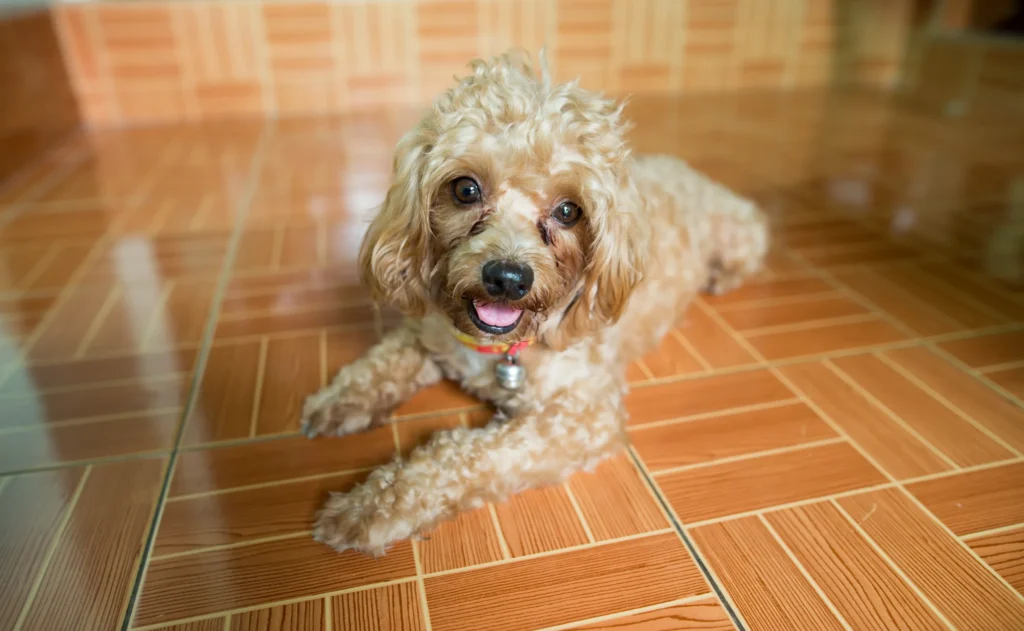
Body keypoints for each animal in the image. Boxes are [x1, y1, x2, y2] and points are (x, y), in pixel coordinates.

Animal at [303, 54, 770, 557]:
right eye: (465, 190)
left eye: (568, 211)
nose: (507, 278)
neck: (499, 348)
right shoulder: (426, 333)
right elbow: (380, 363)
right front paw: (339, 401)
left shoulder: (581, 416)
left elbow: (472, 455)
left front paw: (372, 508)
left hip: (740, 235)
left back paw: (720, 278)